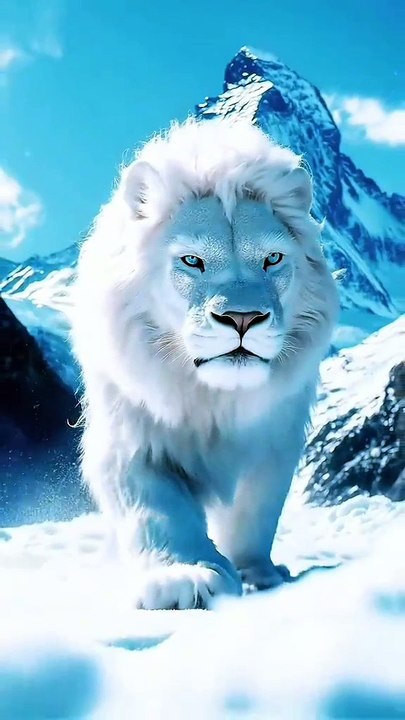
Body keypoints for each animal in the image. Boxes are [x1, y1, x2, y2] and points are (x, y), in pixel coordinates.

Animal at [71, 117, 339, 609]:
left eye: (273, 258)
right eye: (192, 260)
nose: (242, 318)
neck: (213, 401)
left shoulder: (275, 442)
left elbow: (256, 514)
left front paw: (261, 575)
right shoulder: (131, 438)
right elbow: (157, 511)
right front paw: (183, 579)